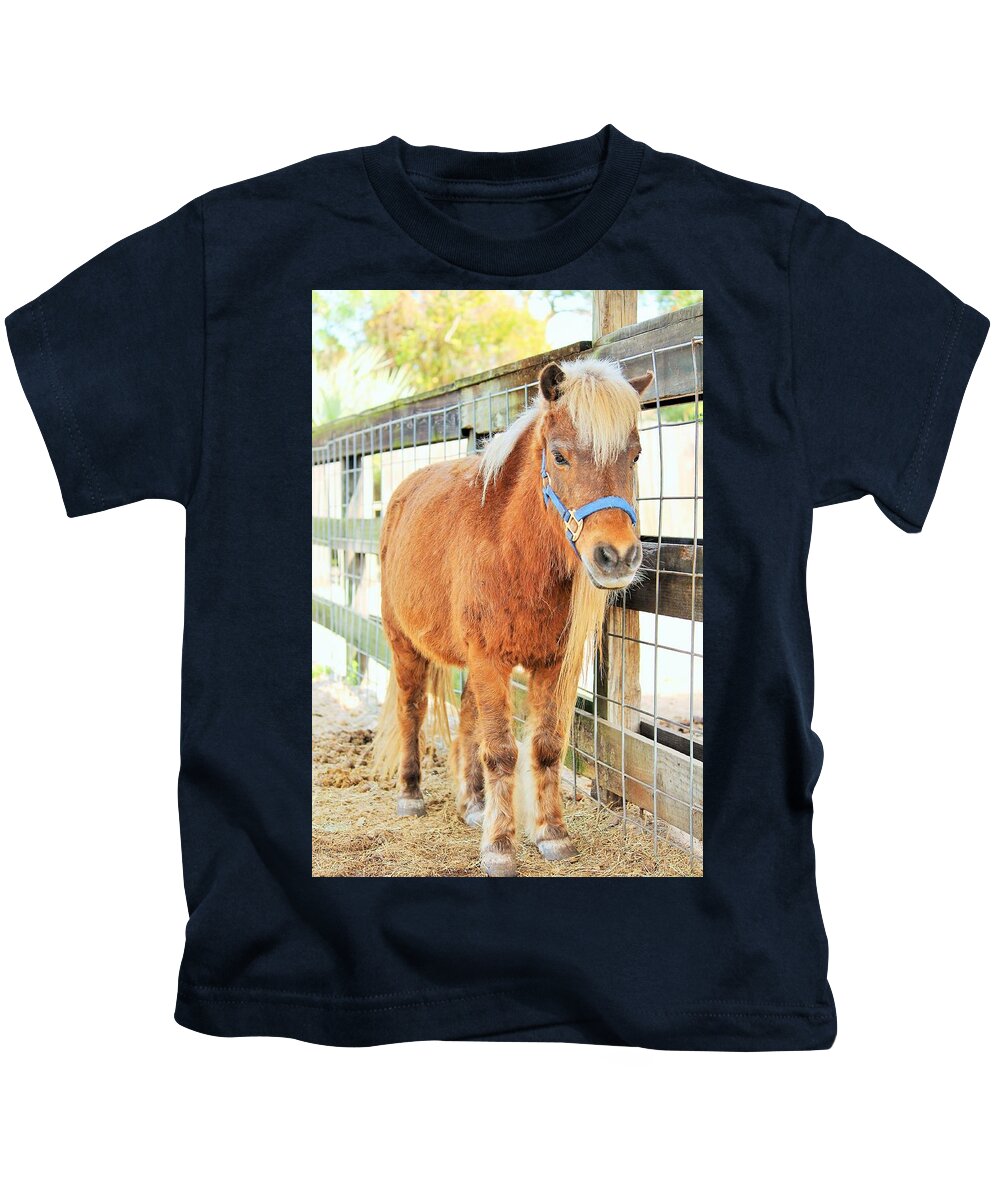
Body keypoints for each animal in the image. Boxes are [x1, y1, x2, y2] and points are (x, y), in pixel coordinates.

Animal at [372, 357, 652, 876]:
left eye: (636, 456)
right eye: (559, 457)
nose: (617, 557)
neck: (513, 551)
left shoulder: (551, 665)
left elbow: (544, 747)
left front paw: (552, 834)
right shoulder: (489, 659)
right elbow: (502, 751)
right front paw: (500, 847)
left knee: (466, 719)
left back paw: (472, 804)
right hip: (404, 643)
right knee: (411, 710)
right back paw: (411, 794)